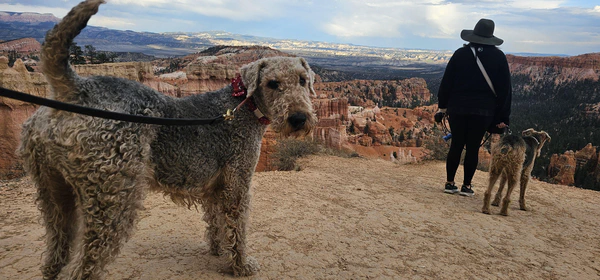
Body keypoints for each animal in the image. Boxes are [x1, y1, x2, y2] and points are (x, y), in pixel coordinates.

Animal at [18, 0, 316, 278]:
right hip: (112, 198)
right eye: (273, 83)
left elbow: (217, 224)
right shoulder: (238, 182)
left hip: (54, 192)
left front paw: (219, 250)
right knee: (82, 267)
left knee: (54, 259)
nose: (299, 118)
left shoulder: (215, 187)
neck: (243, 105)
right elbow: (237, 227)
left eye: (303, 80)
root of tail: (76, 89)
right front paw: (241, 265)